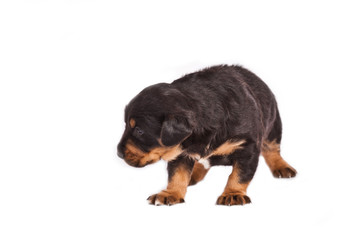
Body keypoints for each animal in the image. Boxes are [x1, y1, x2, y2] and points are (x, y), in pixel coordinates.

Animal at [116, 65, 296, 206]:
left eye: (140, 131)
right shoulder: (180, 152)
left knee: (272, 149)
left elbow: (240, 174)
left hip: (273, 125)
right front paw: (170, 193)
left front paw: (232, 194)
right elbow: (177, 174)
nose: (118, 153)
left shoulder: (247, 146)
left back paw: (282, 167)